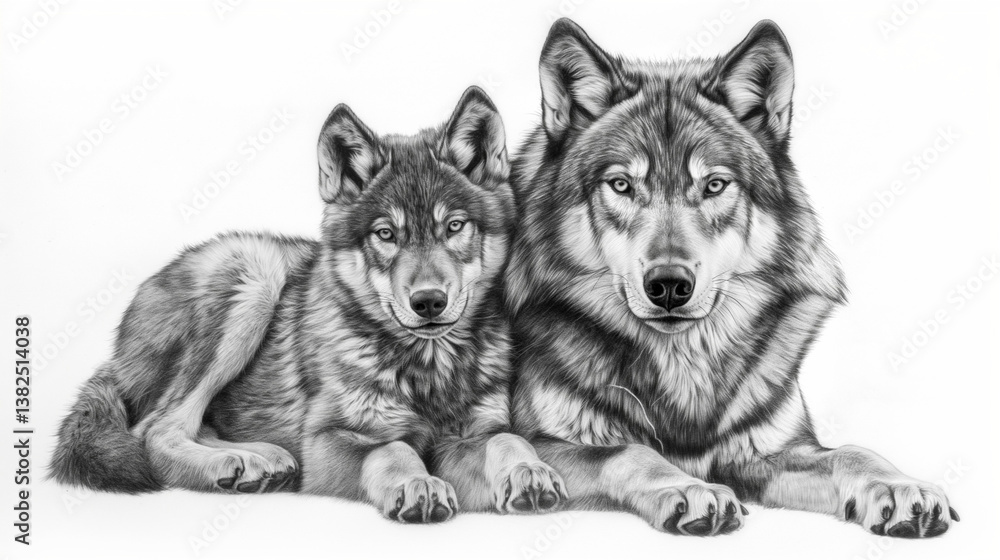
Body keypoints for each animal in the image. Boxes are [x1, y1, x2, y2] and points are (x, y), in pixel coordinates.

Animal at [51, 86, 567, 522]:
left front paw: (529, 471)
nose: (428, 302)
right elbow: (392, 450)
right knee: (155, 432)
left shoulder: (470, 434)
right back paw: (236, 462)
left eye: (454, 227)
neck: (428, 370)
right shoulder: (326, 442)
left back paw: (263, 458)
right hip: (253, 275)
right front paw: (417, 485)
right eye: (386, 234)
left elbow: (506, 438)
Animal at [505, 19, 959, 537]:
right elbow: (632, 452)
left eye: (714, 185)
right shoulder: (540, 440)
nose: (668, 285)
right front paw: (689, 488)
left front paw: (902, 486)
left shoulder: (770, 453)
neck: (683, 369)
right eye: (621, 185)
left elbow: (852, 453)